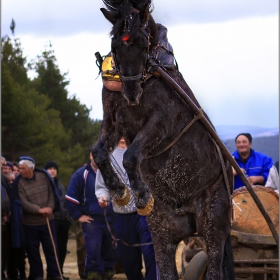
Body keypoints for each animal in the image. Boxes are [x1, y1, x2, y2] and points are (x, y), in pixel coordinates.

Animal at [93, 1, 235, 278]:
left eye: (141, 43)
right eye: (115, 45)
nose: (131, 93)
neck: (151, 75)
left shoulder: (161, 122)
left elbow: (131, 155)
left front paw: (141, 194)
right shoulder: (113, 119)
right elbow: (100, 152)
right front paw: (120, 192)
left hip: (213, 221)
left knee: (214, 265)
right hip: (163, 231)